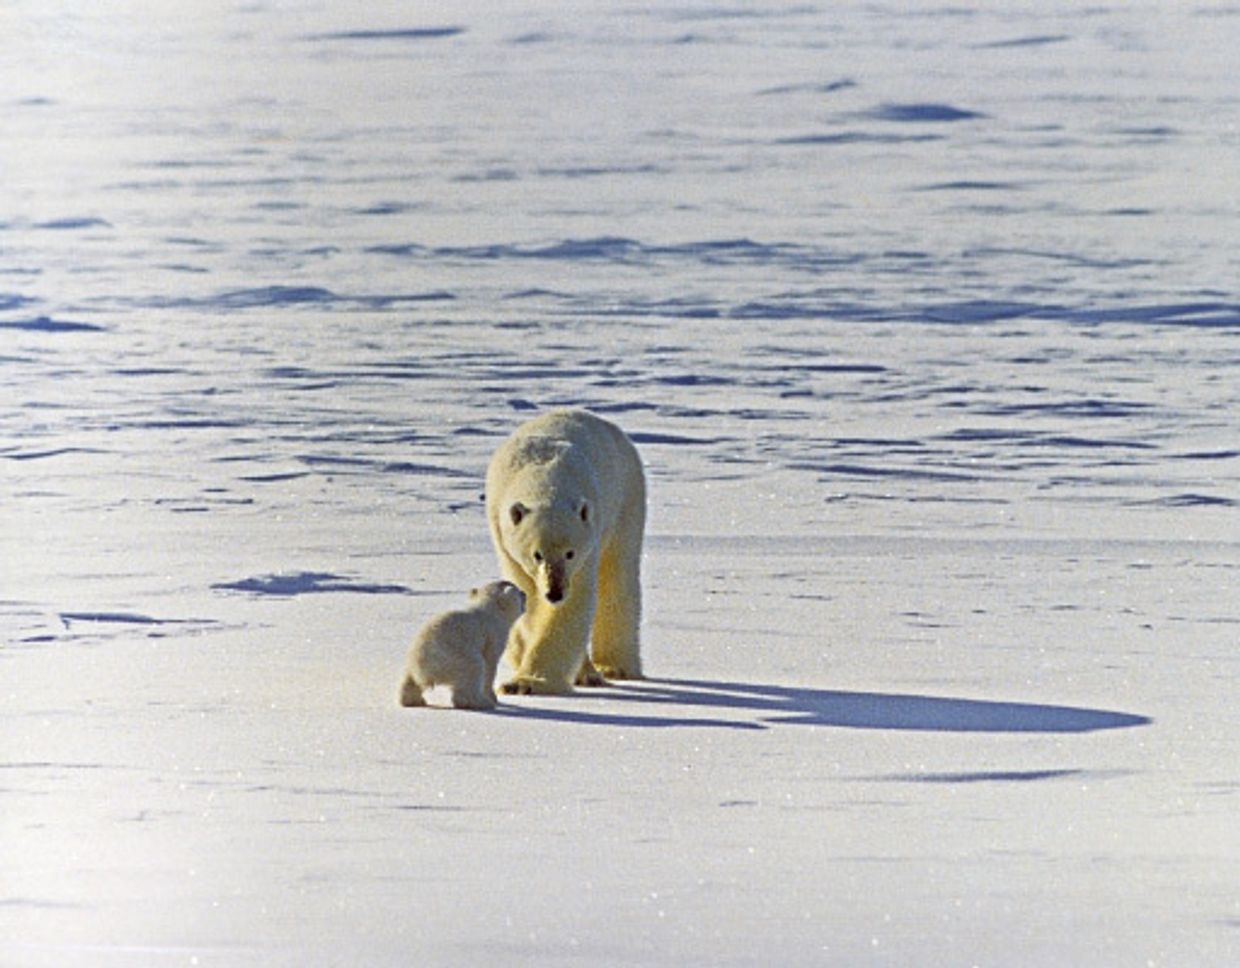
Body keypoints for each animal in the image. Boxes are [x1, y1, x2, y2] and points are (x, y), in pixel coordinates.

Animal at [398, 580, 525, 710]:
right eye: (519, 592)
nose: (525, 593)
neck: (490, 609)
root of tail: (424, 667)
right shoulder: (494, 634)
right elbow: (490, 664)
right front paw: (492, 698)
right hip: (455, 656)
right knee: (474, 667)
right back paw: (481, 702)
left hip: (414, 659)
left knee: (410, 680)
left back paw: (413, 700)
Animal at [485, 408, 646, 695]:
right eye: (537, 554)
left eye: (570, 553)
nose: (555, 592)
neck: (546, 479)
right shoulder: (504, 538)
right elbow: (530, 600)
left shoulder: (589, 539)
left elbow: (573, 603)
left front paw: (527, 683)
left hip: (627, 498)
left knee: (617, 576)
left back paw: (614, 667)